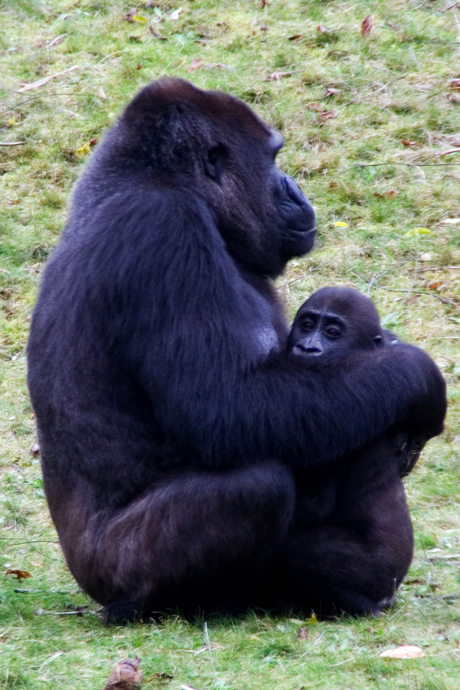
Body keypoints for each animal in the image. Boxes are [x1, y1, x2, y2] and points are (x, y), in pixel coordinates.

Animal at [286, 288, 422, 616]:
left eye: (333, 333)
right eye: (306, 326)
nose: (307, 348)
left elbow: (312, 505)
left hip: (380, 573)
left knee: (298, 547)